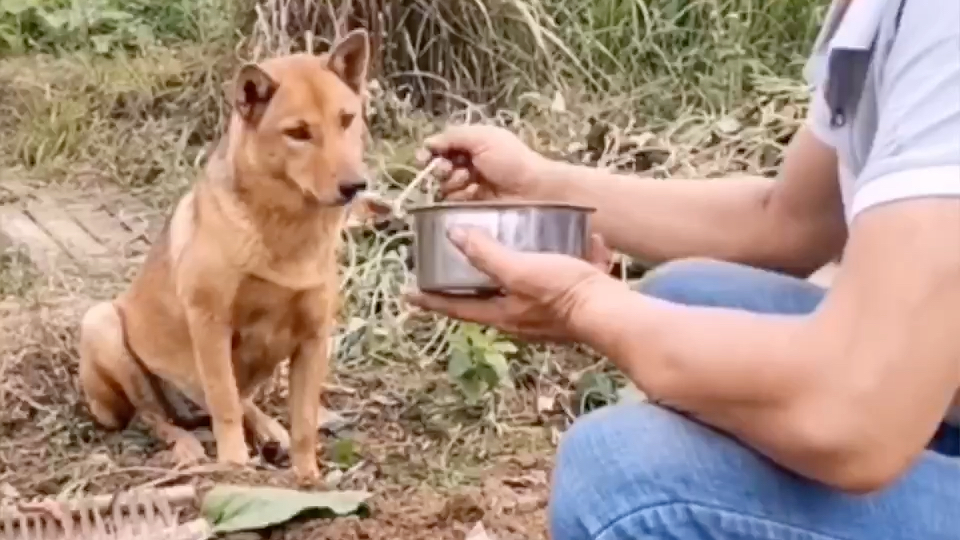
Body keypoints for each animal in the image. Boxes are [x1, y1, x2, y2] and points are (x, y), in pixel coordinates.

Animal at [79, 28, 374, 480]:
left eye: (346, 119)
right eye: (298, 132)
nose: (356, 186)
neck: (285, 232)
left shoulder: (313, 337)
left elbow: (304, 421)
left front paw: (307, 478)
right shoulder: (210, 324)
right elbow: (225, 403)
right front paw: (234, 464)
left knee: (240, 402)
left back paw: (270, 432)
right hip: (103, 325)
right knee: (157, 416)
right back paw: (187, 448)